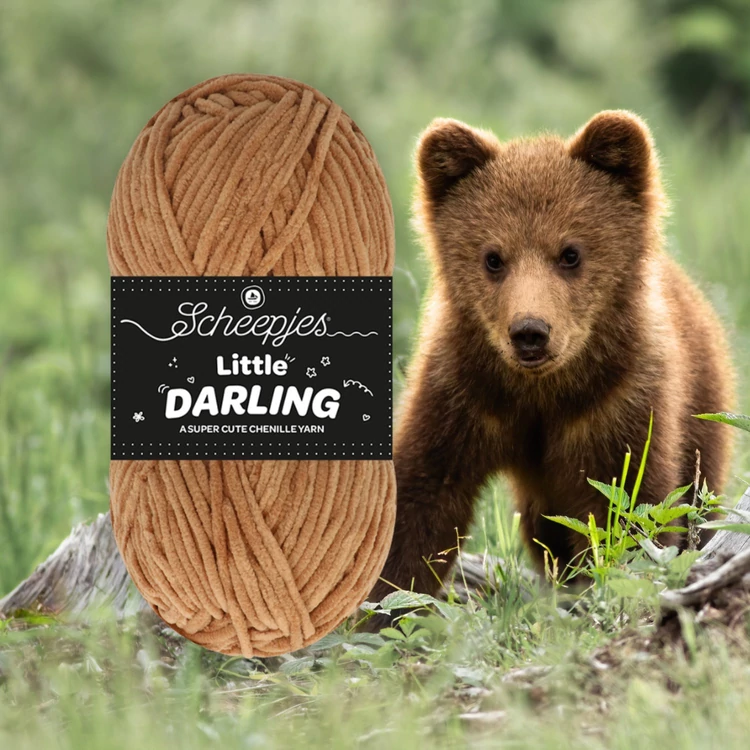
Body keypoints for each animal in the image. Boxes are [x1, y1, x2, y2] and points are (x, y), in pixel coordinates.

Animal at [370, 111, 736, 606]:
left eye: (570, 253)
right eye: (492, 257)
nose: (530, 331)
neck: (541, 393)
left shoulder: (617, 405)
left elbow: (630, 506)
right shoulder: (462, 394)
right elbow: (421, 497)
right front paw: (381, 601)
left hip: (703, 408)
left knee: (699, 496)